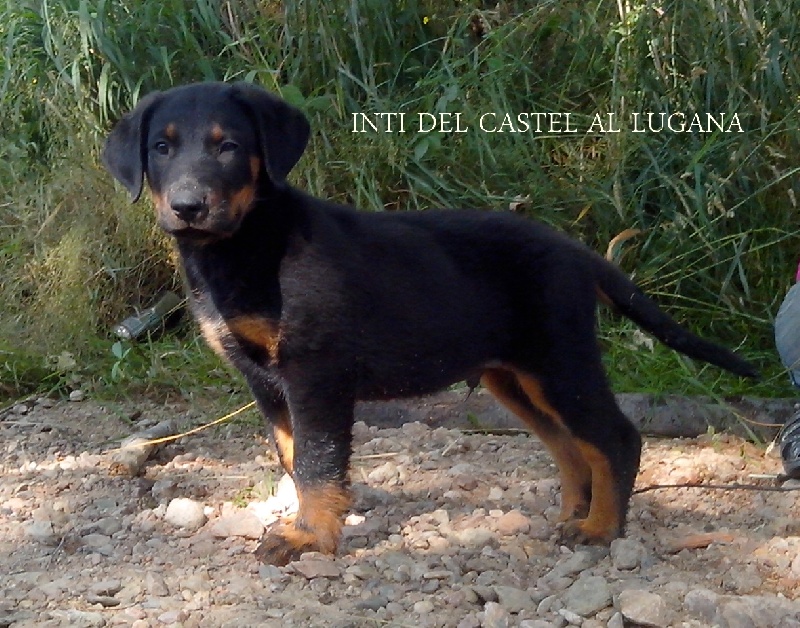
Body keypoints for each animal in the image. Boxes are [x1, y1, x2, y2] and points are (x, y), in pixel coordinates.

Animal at [102, 81, 757, 566]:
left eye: (229, 146)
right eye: (161, 148)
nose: (188, 206)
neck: (241, 248)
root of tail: (577, 251)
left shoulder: (314, 373)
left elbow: (316, 461)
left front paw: (310, 537)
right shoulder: (264, 382)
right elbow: (293, 457)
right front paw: (315, 522)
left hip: (559, 358)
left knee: (615, 437)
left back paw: (600, 530)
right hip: (513, 377)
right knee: (570, 446)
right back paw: (575, 513)